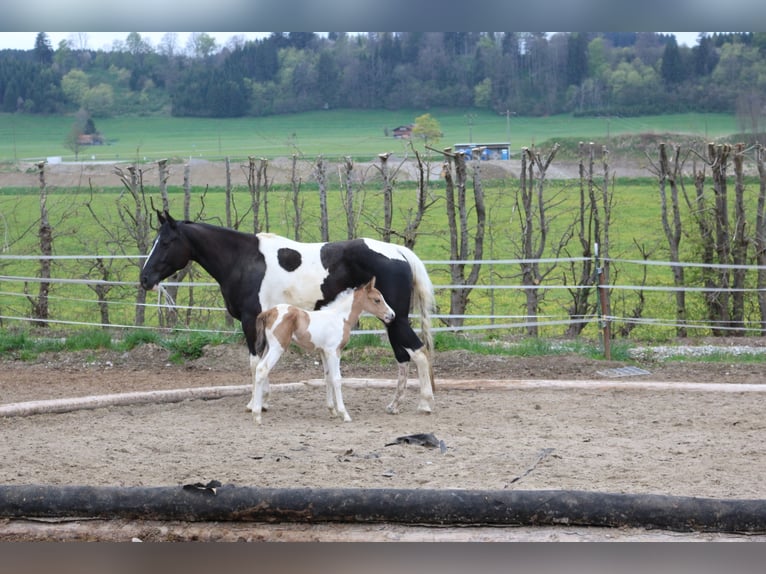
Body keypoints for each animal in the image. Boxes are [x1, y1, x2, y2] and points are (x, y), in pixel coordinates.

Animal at [248, 277, 395, 423]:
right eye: (377, 300)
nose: (392, 315)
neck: (341, 318)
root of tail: (268, 312)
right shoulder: (334, 351)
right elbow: (337, 379)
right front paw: (344, 414)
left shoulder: (324, 352)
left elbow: (327, 377)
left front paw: (332, 410)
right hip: (277, 348)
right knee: (262, 369)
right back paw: (257, 415)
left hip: (268, 347)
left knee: (259, 368)